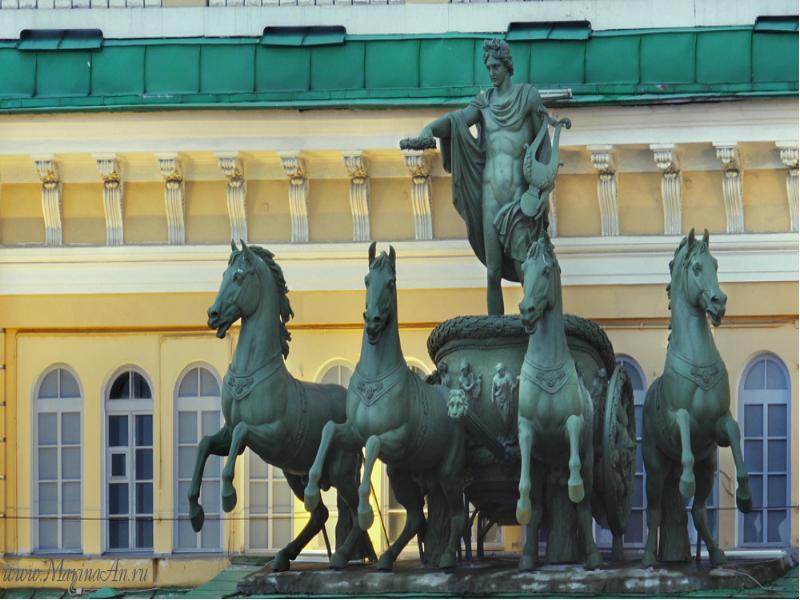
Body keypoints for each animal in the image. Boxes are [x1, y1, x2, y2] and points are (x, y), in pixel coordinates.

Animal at [191, 240, 376, 572]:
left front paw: (227, 496)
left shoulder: (269, 436)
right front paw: (195, 514)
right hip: (297, 476)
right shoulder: (228, 436)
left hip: (340, 472)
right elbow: (205, 444)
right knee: (321, 514)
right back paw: (283, 556)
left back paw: (341, 556)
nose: (213, 315)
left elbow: (242, 431)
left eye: (238, 276)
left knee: (357, 514)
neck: (253, 372)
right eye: (223, 274)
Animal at [306, 241, 468, 568]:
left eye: (391, 283)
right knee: (417, 517)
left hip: (448, 472)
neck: (376, 374)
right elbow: (329, 429)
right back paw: (383, 558)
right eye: (367, 280)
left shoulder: (395, 439)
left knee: (457, 516)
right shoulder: (352, 431)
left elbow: (373, 446)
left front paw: (365, 511)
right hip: (403, 476)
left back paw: (446, 558)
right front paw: (310, 493)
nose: (373, 323)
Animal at [640, 230, 752, 568]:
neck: (697, 358)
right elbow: (684, 424)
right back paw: (648, 557)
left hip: (708, 467)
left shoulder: (718, 425)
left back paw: (715, 553)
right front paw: (685, 482)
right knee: (654, 511)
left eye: (715, 264)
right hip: (654, 467)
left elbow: (734, 434)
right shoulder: (679, 422)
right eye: (697, 268)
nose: (719, 302)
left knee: (700, 510)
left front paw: (745, 497)